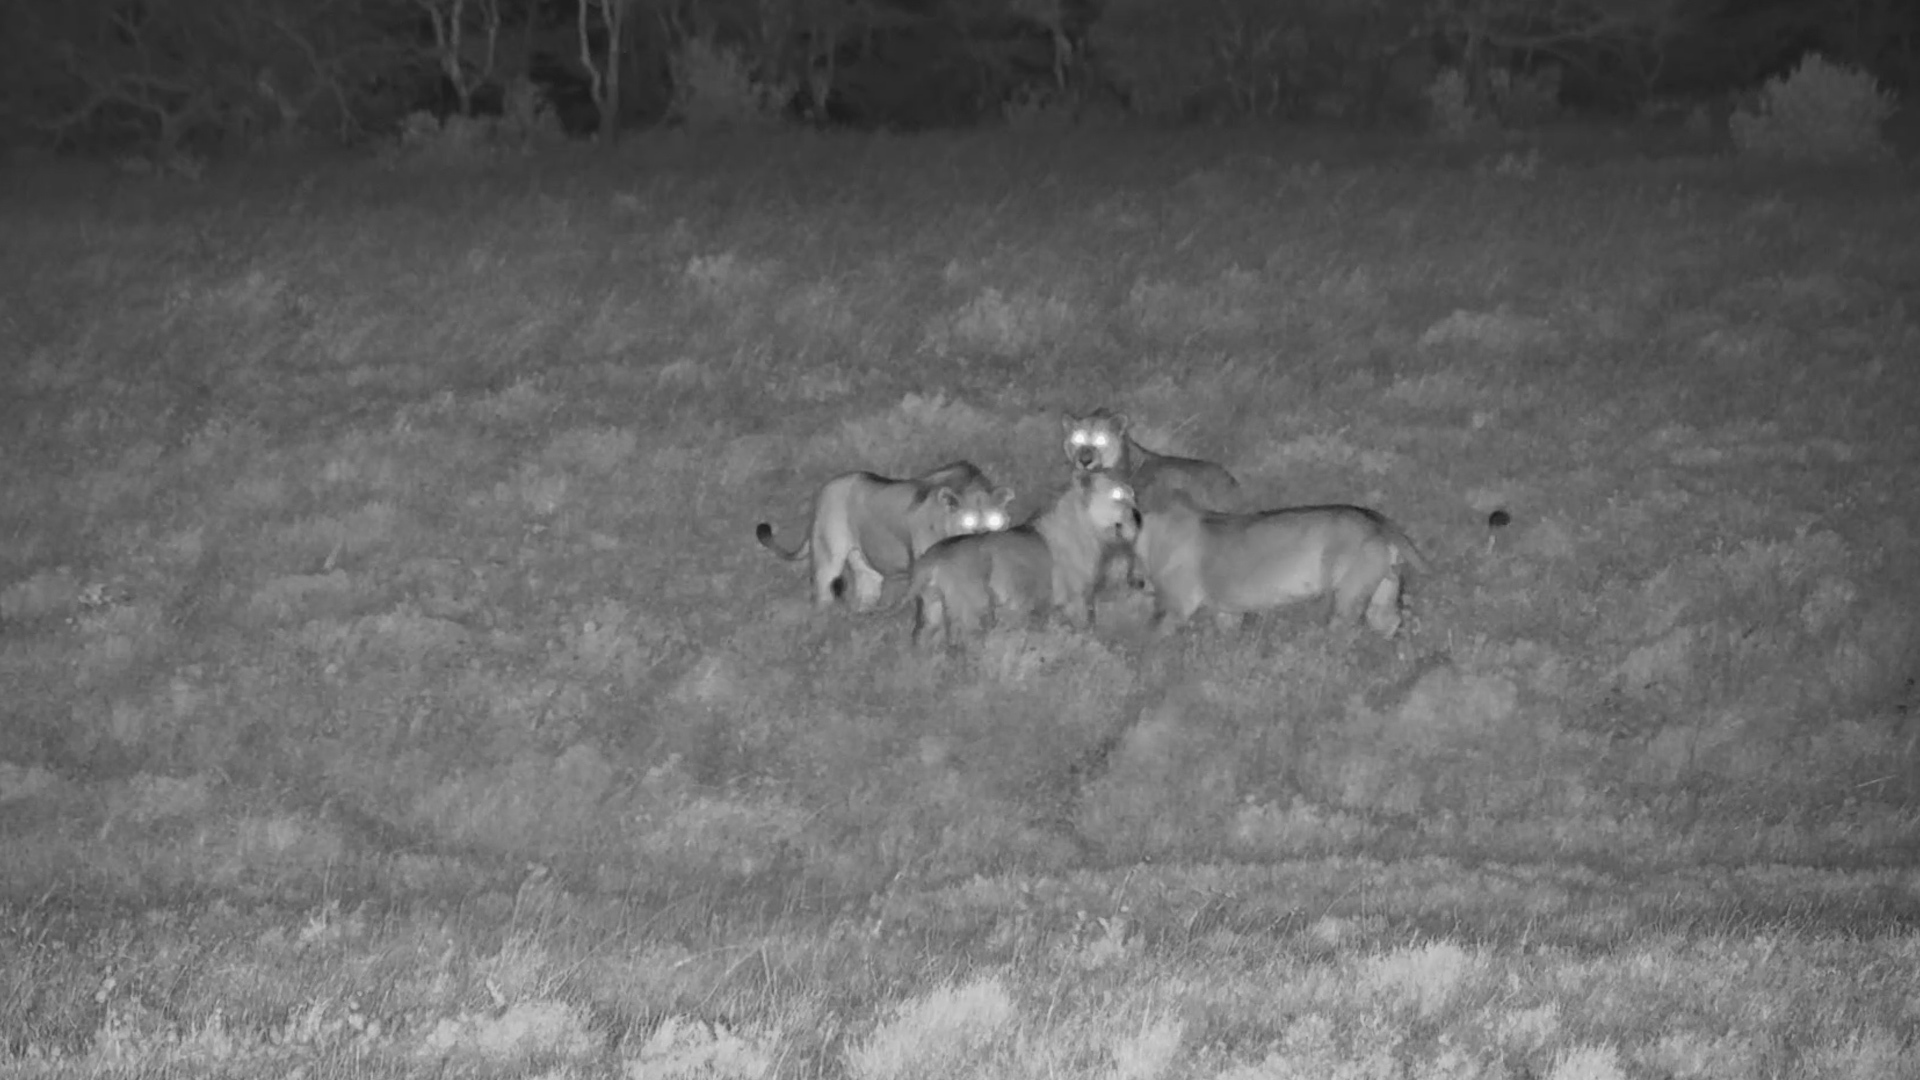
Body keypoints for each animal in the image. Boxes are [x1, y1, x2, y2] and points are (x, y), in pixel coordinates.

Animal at [756, 461, 1013, 610]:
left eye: (994, 520)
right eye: (967, 521)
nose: (983, 537)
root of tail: (825, 488)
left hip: (864, 566)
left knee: (865, 591)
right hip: (827, 556)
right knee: (821, 592)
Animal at [907, 471, 1139, 647]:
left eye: (1132, 495)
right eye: (1118, 496)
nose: (1138, 516)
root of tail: (930, 559)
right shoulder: (1076, 600)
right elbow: (1086, 629)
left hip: (932, 613)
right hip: (974, 609)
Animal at [1131, 492, 1429, 637]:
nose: (1134, 582)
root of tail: (1379, 522)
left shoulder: (1177, 606)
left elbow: (1154, 639)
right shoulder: (1226, 612)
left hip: (1348, 594)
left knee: (1342, 631)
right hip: (1382, 591)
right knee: (1388, 623)